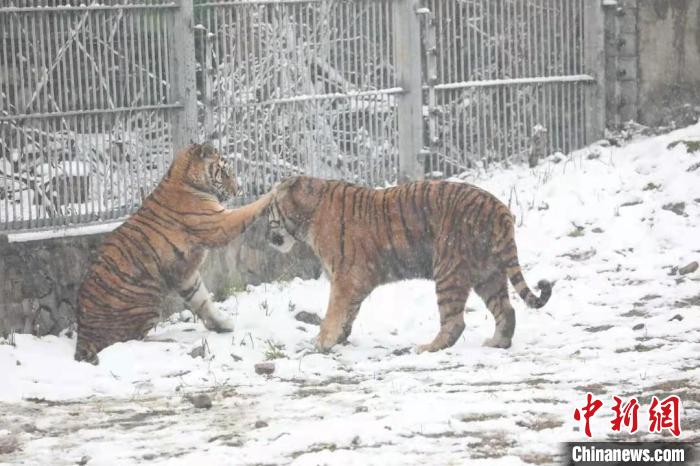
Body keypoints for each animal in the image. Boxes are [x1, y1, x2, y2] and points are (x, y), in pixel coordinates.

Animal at [75, 143, 272, 364]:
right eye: (225, 172)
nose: (238, 190)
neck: (183, 177)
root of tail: (83, 334)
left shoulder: (185, 274)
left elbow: (201, 300)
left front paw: (222, 324)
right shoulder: (219, 224)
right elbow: (247, 210)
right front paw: (278, 190)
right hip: (145, 301)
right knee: (129, 340)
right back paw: (168, 340)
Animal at [266, 176, 552, 353]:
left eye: (270, 208)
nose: (266, 236)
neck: (307, 215)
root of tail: (499, 208)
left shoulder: (345, 278)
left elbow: (334, 312)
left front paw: (321, 342)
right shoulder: (354, 282)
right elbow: (348, 314)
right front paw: (338, 339)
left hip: (448, 270)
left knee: (455, 322)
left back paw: (427, 348)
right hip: (488, 274)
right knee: (506, 310)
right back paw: (497, 343)